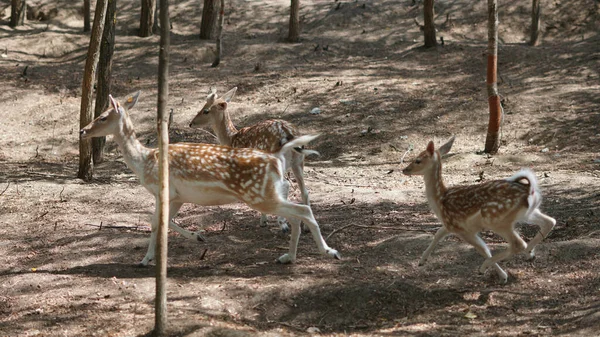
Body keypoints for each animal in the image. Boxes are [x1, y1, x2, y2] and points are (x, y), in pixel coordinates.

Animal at [190, 85, 314, 232]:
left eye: (206, 110)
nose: (191, 123)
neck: (232, 139)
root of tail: (288, 134)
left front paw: (264, 220)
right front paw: (264, 219)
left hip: (277, 160)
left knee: (285, 185)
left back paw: (283, 224)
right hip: (299, 161)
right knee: (305, 190)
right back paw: (306, 227)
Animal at [404, 138, 556, 282]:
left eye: (417, 160)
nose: (404, 170)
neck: (440, 200)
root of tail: (530, 191)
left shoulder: (461, 229)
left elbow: (482, 249)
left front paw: (501, 275)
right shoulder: (451, 225)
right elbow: (438, 234)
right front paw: (421, 261)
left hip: (497, 220)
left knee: (518, 244)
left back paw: (485, 266)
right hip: (527, 213)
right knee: (550, 221)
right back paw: (530, 252)